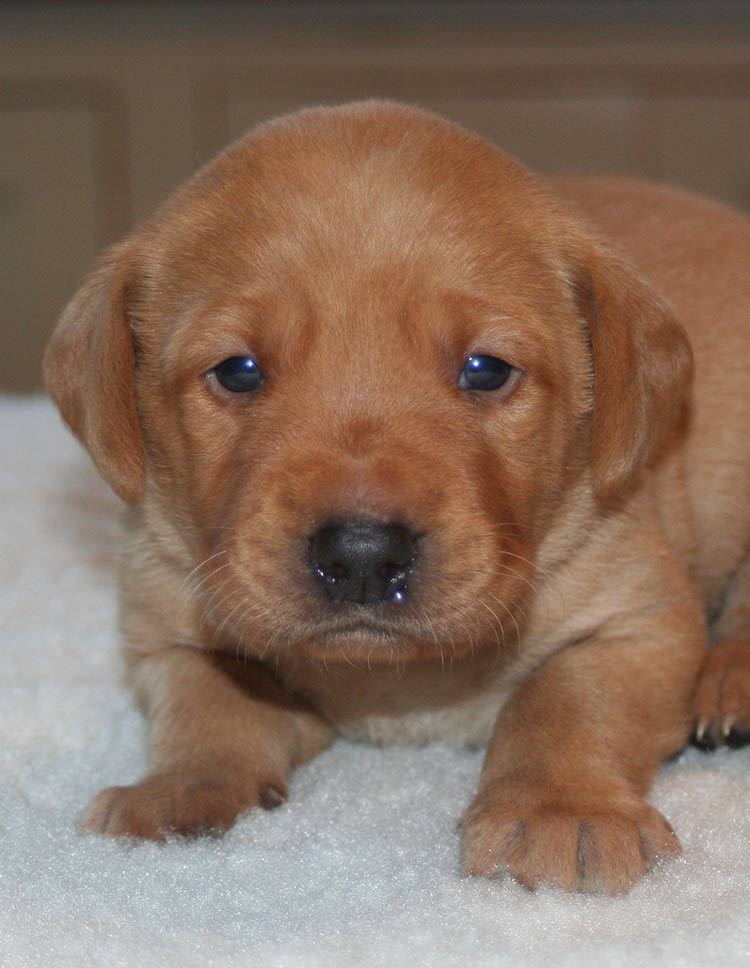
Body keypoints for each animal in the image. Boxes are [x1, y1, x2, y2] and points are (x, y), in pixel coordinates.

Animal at [45, 102, 750, 896]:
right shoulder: (162, 615)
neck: (396, 680)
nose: (360, 555)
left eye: (486, 369)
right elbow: (212, 695)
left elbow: (565, 699)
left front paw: (559, 809)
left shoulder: (640, 616)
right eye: (237, 370)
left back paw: (734, 679)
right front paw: (179, 788)